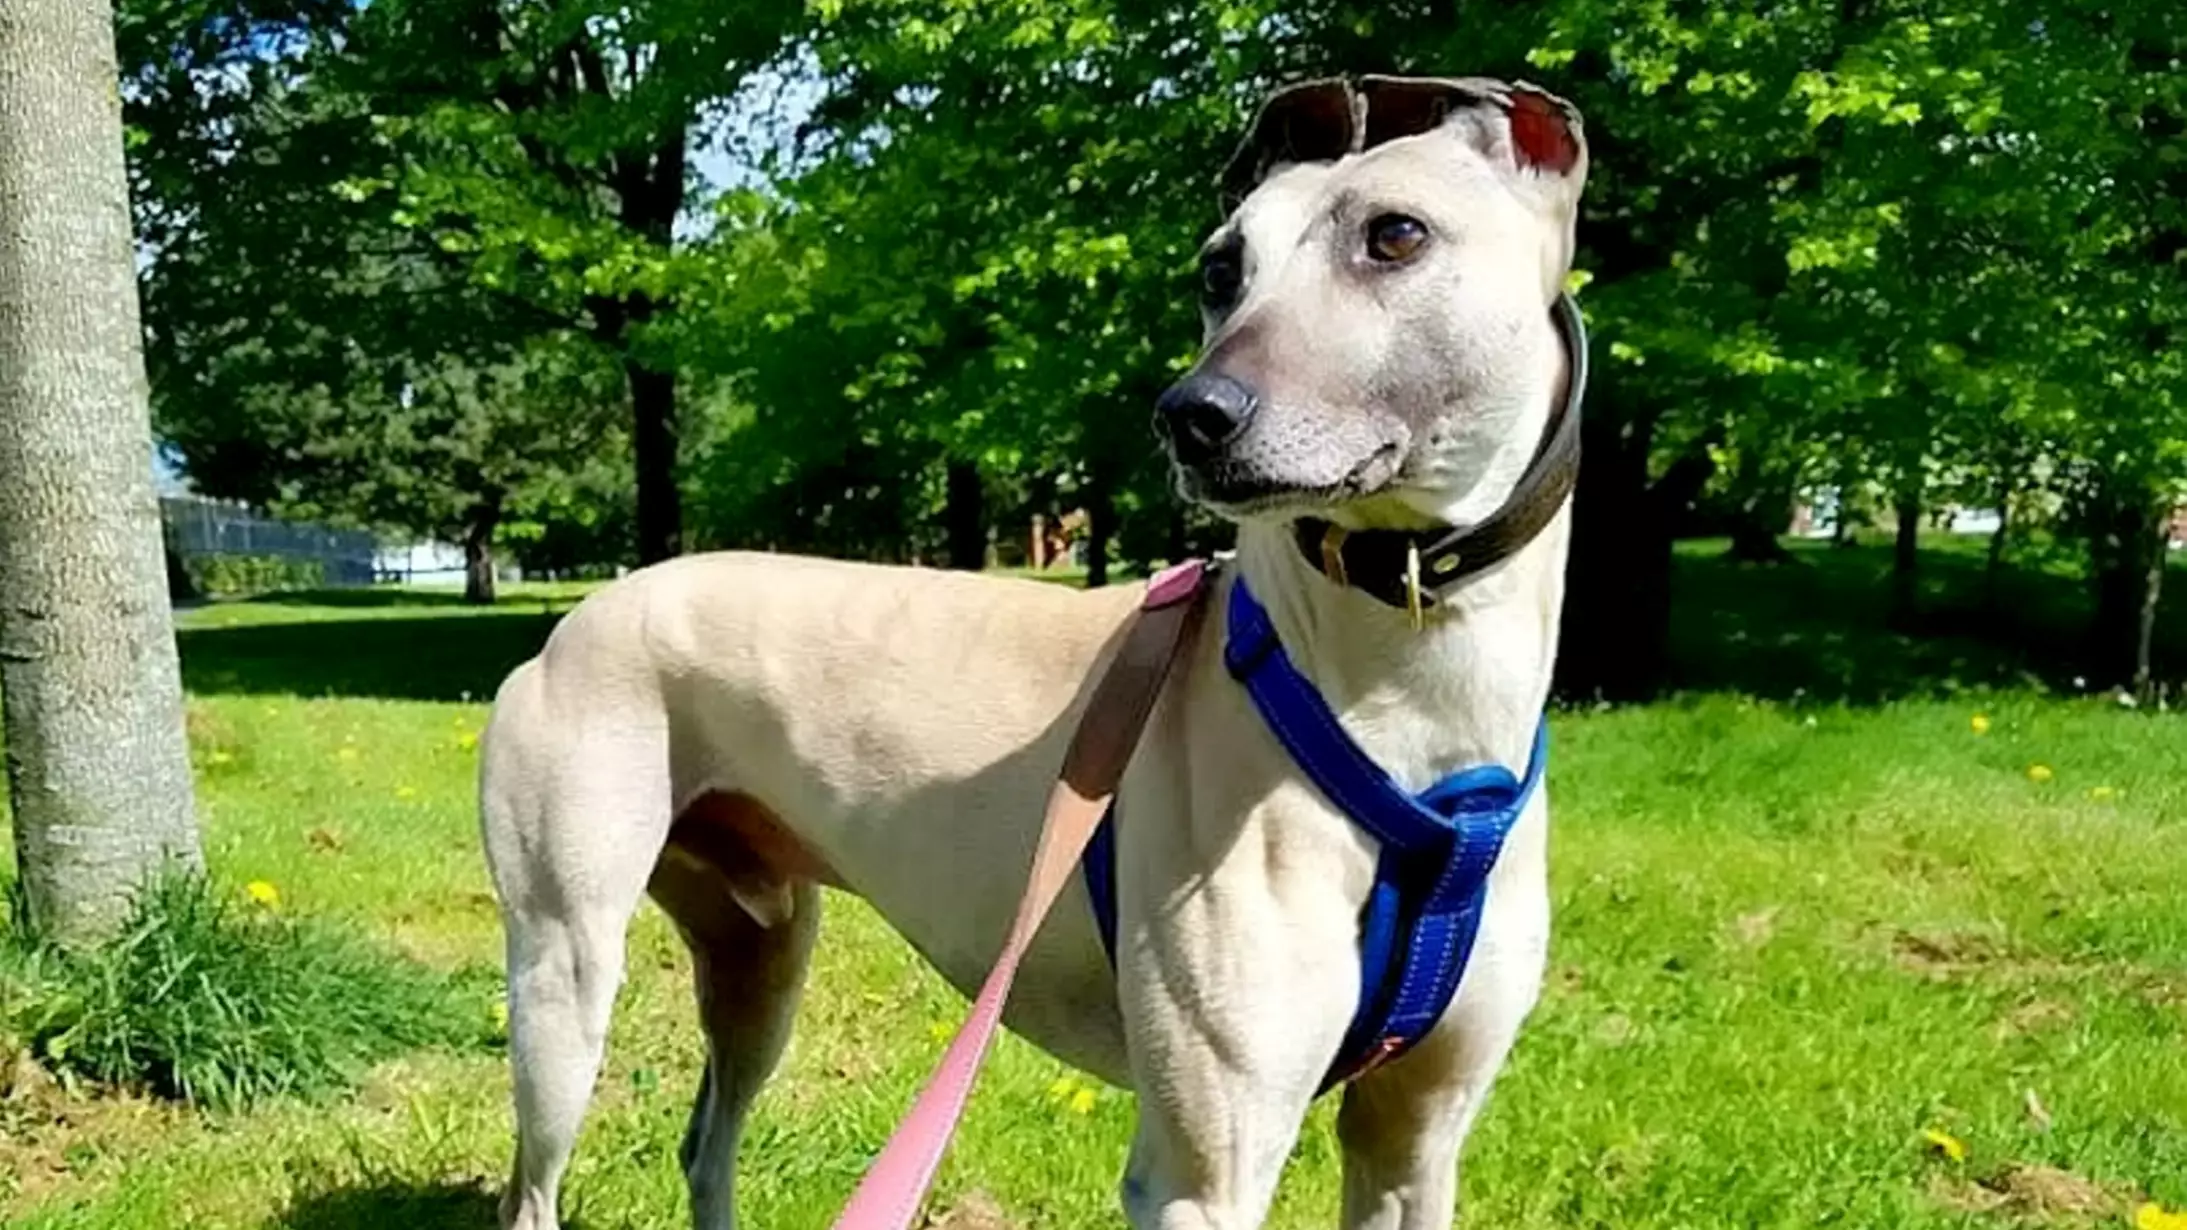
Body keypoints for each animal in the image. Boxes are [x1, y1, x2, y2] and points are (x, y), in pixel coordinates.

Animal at [483, 76, 1592, 1225]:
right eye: (1220, 268)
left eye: (1396, 234)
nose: (1191, 415)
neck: (1411, 713)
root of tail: (579, 617)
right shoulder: (1201, 1174)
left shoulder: (1414, 1137)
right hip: (566, 968)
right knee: (538, 1178)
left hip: (761, 950)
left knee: (706, 1140)